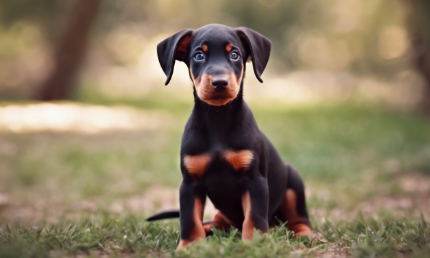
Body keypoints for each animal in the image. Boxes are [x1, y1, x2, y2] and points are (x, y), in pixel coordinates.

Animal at [146, 23, 310, 250]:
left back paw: (305, 235)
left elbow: (254, 217)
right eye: (198, 55)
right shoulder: (189, 183)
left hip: (293, 181)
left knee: (299, 219)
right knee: (213, 222)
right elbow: (189, 218)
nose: (220, 83)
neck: (218, 119)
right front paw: (189, 246)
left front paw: (255, 244)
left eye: (235, 54)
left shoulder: (254, 179)